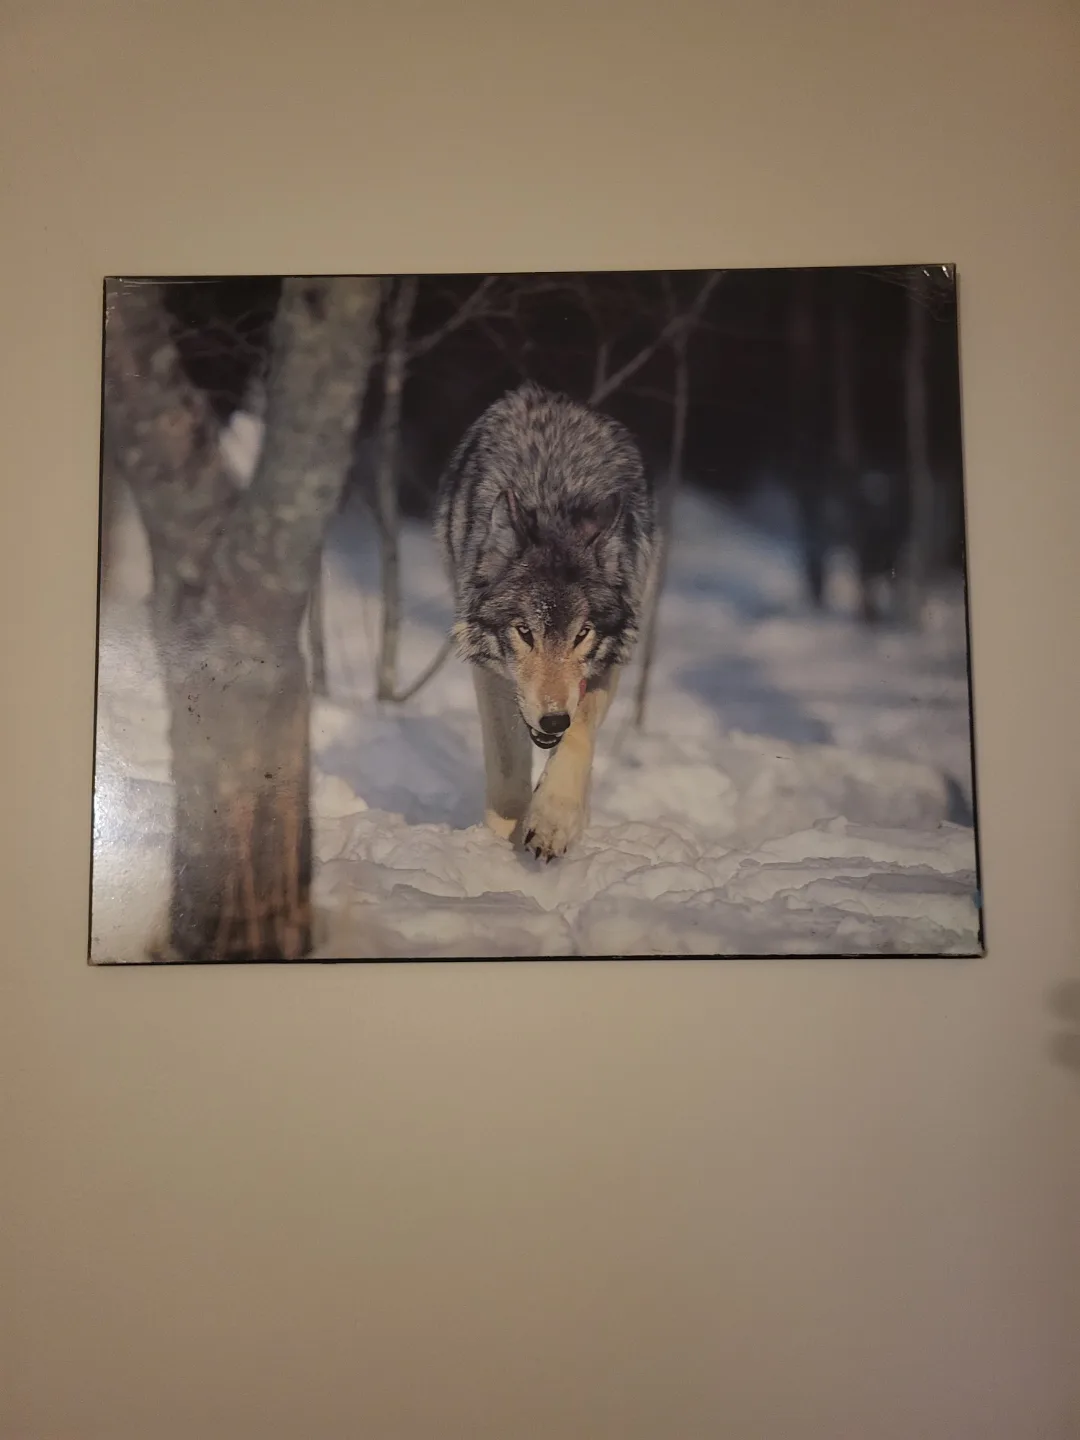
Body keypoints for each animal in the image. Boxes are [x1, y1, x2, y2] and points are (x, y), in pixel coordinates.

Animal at [434, 381, 654, 860]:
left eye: (582, 634)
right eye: (524, 632)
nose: (553, 720)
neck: (554, 500)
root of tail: (555, 396)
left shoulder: (605, 663)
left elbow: (579, 737)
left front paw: (553, 822)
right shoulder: (491, 674)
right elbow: (507, 770)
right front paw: (502, 845)